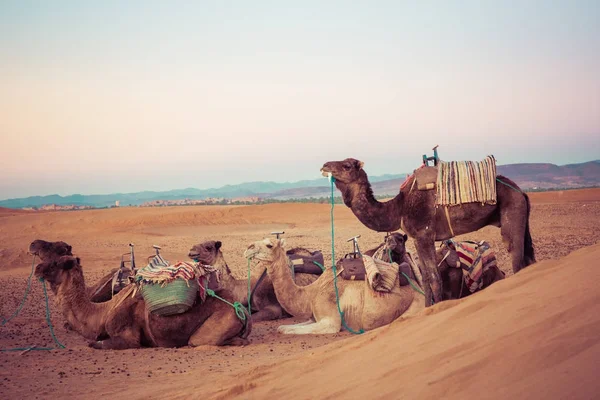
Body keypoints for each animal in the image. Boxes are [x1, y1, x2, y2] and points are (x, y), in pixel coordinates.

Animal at [35, 255, 251, 348]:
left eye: (55, 263)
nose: (37, 268)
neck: (103, 311)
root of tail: (242, 309)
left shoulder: (127, 336)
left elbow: (94, 344)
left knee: (199, 341)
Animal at [241, 238, 424, 334]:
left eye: (269, 245)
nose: (248, 248)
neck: (309, 294)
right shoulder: (312, 318)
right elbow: (282, 327)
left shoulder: (331, 321)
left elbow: (285, 329)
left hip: (414, 306)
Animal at [322, 158, 536, 304]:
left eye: (347, 165)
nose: (324, 166)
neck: (398, 208)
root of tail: (521, 192)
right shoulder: (418, 238)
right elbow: (425, 279)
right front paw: (427, 309)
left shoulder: (424, 234)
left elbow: (434, 279)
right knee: (529, 258)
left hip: (512, 211)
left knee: (517, 257)